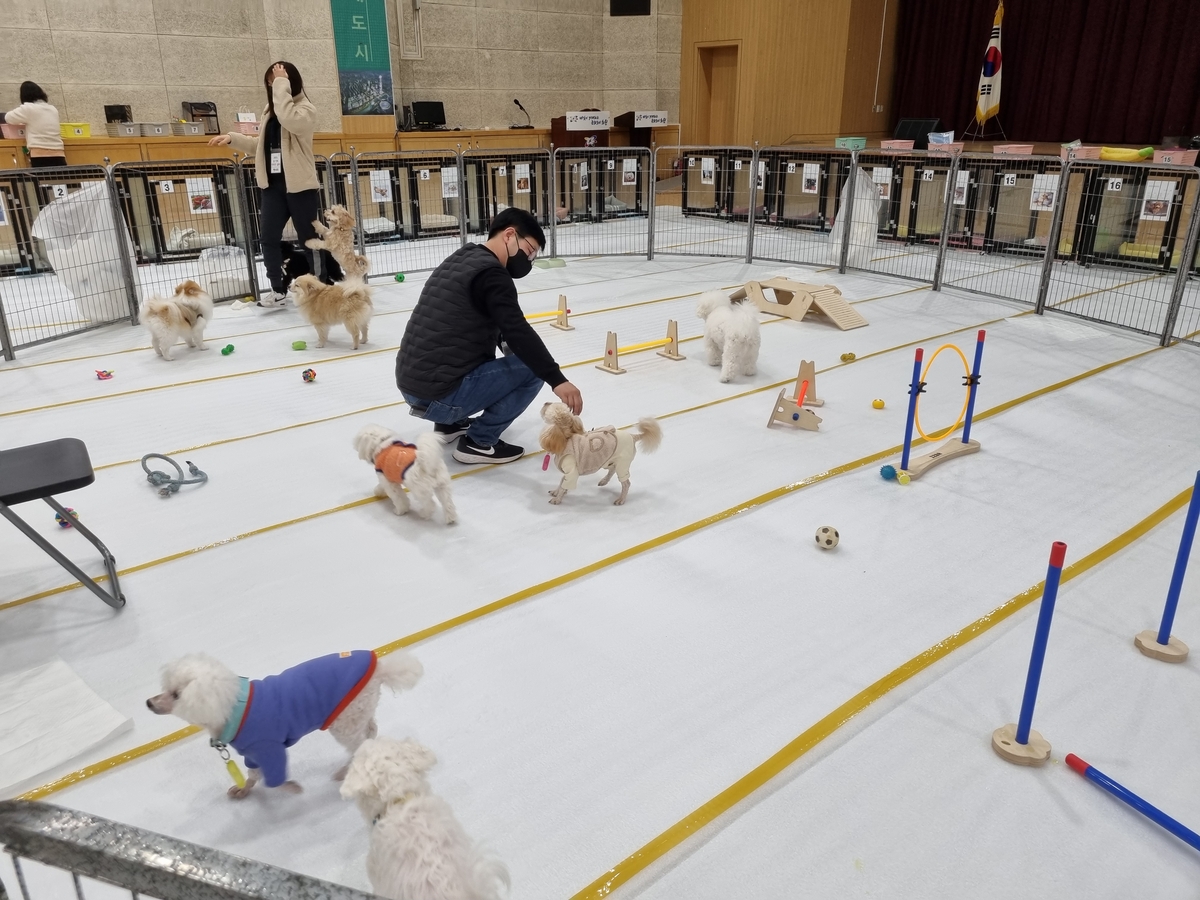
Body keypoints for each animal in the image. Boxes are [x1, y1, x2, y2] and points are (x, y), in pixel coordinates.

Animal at [145, 652, 422, 801]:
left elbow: (274, 780)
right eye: (165, 688)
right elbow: (253, 775)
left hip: (344, 722)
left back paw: (345, 771)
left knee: (359, 745)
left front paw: (293, 788)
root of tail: (381, 668)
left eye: (177, 695)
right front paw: (244, 790)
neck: (233, 707)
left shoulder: (269, 749)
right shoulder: (252, 754)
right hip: (355, 713)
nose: (148, 702)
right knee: (370, 730)